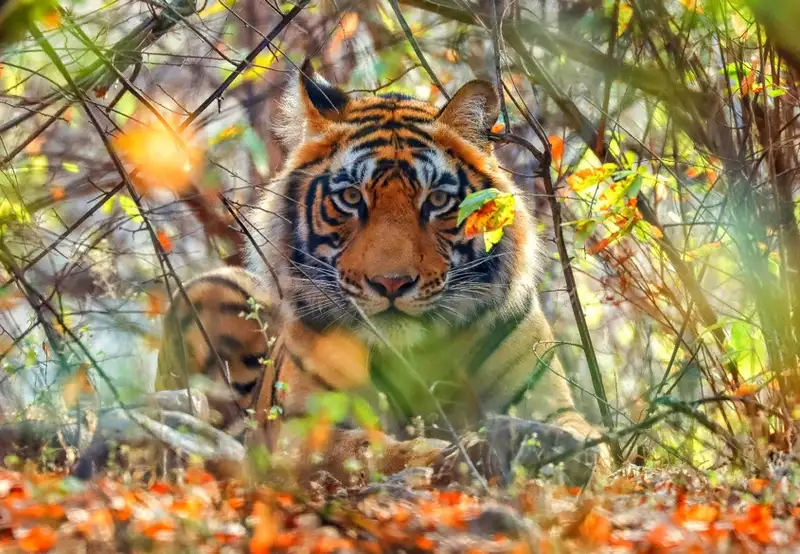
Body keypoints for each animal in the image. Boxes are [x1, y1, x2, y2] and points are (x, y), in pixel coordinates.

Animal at [155, 61, 609, 486]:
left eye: (437, 200)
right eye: (351, 197)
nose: (392, 283)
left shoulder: (547, 402)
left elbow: (591, 441)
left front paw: (558, 450)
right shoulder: (298, 428)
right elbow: (369, 450)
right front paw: (452, 456)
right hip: (210, 288)